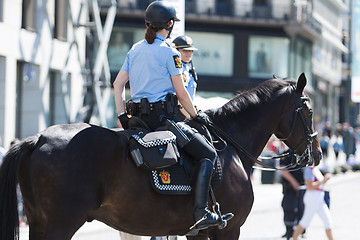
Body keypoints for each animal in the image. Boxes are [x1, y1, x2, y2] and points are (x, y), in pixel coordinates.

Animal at [0, 73, 320, 240]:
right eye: (309, 109)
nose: (316, 153)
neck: (229, 144)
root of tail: (38, 137)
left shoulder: (197, 233)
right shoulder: (228, 230)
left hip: (39, 223)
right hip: (59, 224)